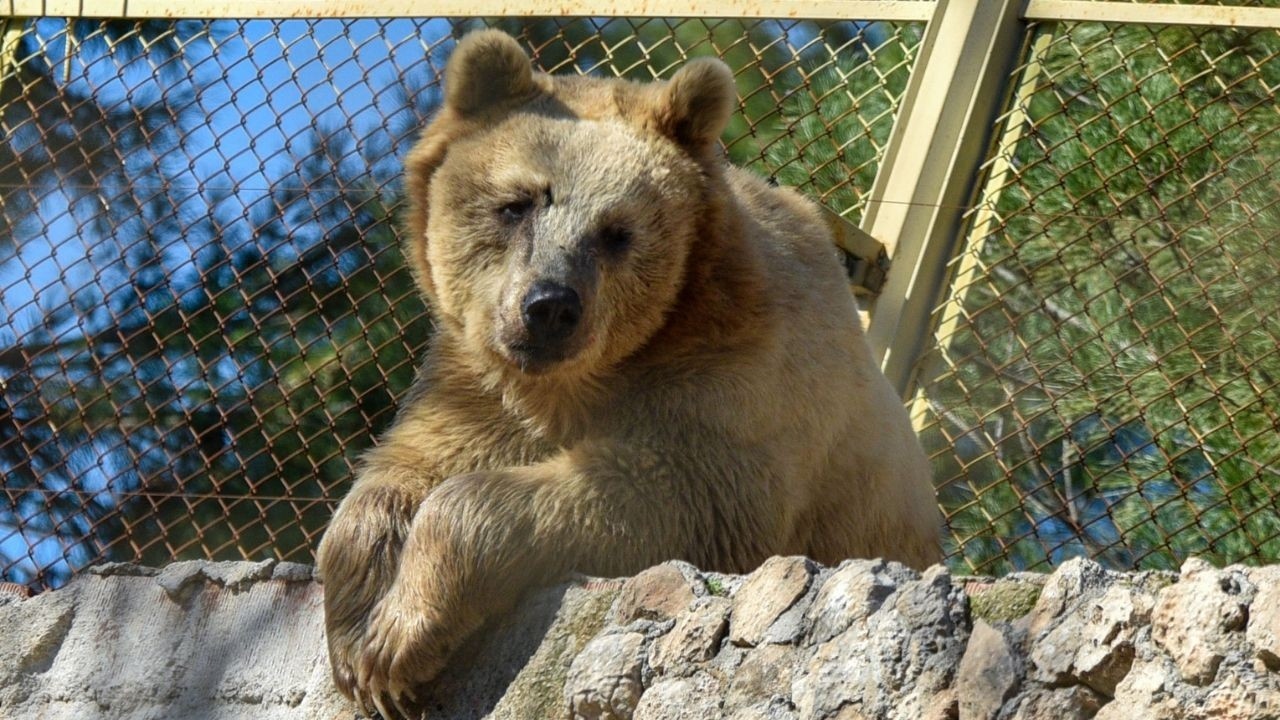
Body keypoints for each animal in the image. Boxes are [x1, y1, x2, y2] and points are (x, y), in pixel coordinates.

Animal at [320, 26, 942, 712]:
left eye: (617, 230)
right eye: (517, 203)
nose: (550, 306)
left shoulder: (738, 377)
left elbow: (675, 489)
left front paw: (396, 640)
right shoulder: (474, 382)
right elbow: (407, 466)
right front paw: (359, 634)